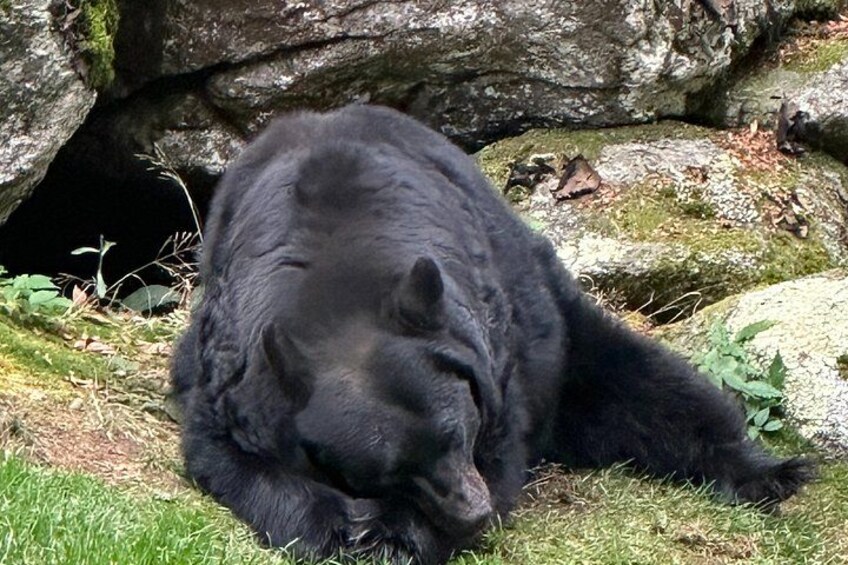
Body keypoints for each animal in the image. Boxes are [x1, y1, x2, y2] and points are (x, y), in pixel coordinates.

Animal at [172, 104, 813, 564]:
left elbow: (504, 450)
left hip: (557, 327)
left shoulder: (498, 359)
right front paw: (338, 523)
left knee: (649, 390)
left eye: (459, 432)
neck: (338, 290)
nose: (474, 514)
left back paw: (770, 472)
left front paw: (397, 536)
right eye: (389, 471)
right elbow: (229, 456)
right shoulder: (231, 373)